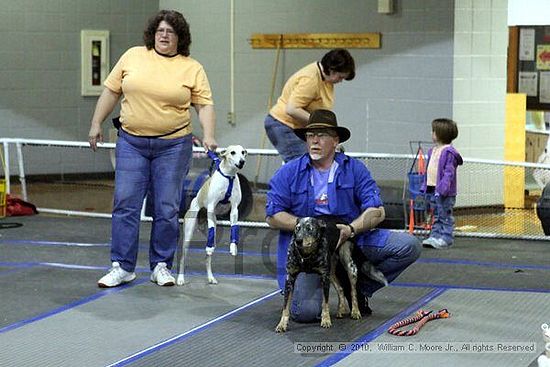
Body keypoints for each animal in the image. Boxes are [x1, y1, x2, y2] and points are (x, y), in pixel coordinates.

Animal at [177, 145, 248, 286]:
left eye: (243, 152)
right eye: (232, 152)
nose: (242, 161)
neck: (229, 176)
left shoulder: (234, 209)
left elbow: (234, 227)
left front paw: (233, 248)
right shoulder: (210, 206)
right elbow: (210, 228)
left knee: (207, 258)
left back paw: (211, 277)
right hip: (188, 234)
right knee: (183, 258)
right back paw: (180, 279)